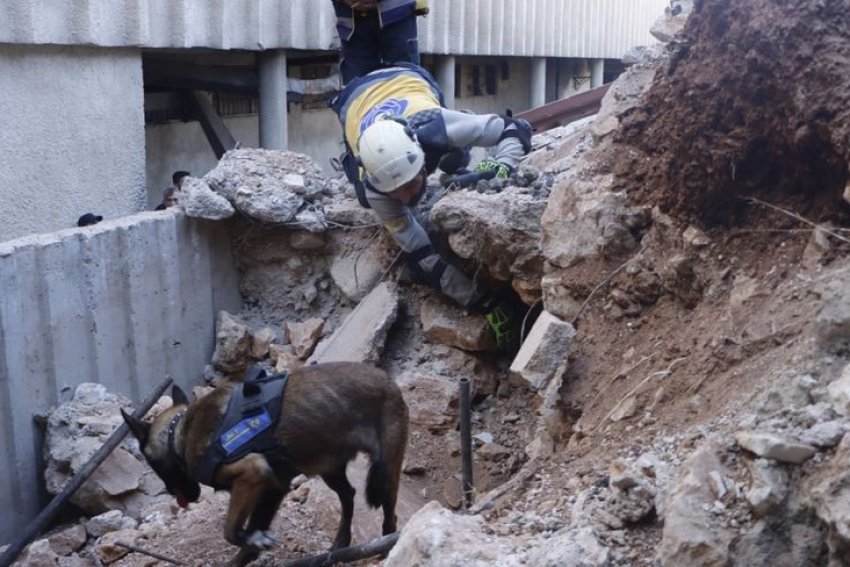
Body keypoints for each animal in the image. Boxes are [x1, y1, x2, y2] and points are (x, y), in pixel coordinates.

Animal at [121, 362, 408, 564]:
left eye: (153, 464)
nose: (173, 493)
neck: (179, 433)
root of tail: (389, 381)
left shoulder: (251, 474)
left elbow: (230, 531)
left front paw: (250, 544)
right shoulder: (272, 487)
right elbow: (251, 531)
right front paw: (245, 555)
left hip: (385, 470)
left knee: (389, 512)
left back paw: (385, 549)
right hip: (330, 469)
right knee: (348, 495)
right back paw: (340, 543)